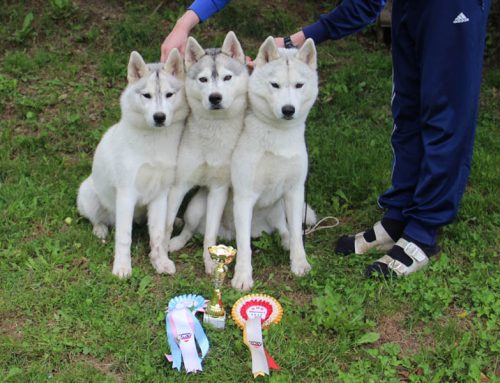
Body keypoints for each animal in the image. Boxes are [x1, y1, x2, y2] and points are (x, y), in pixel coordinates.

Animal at [76, 50, 188, 280]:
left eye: (169, 95)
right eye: (146, 95)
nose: (159, 117)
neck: (154, 143)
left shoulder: (160, 196)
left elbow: (157, 235)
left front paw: (159, 262)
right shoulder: (127, 194)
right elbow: (124, 237)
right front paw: (122, 267)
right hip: (88, 194)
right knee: (97, 219)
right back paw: (100, 230)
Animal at [165, 31, 249, 274]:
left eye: (227, 78)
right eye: (203, 80)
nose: (215, 97)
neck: (213, 134)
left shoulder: (219, 190)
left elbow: (210, 236)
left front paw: (212, 264)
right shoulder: (178, 185)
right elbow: (165, 226)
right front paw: (160, 255)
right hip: (192, 209)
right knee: (186, 228)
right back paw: (175, 243)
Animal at [231, 36, 320, 292]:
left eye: (299, 85)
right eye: (275, 85)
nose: (288, 110)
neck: (278, 136)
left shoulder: (294, 191)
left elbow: (298, 234)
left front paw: (299, 263)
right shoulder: (244, 197)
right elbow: (244, 247)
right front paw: (242, 276)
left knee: (284, 226)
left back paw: (285, 238)